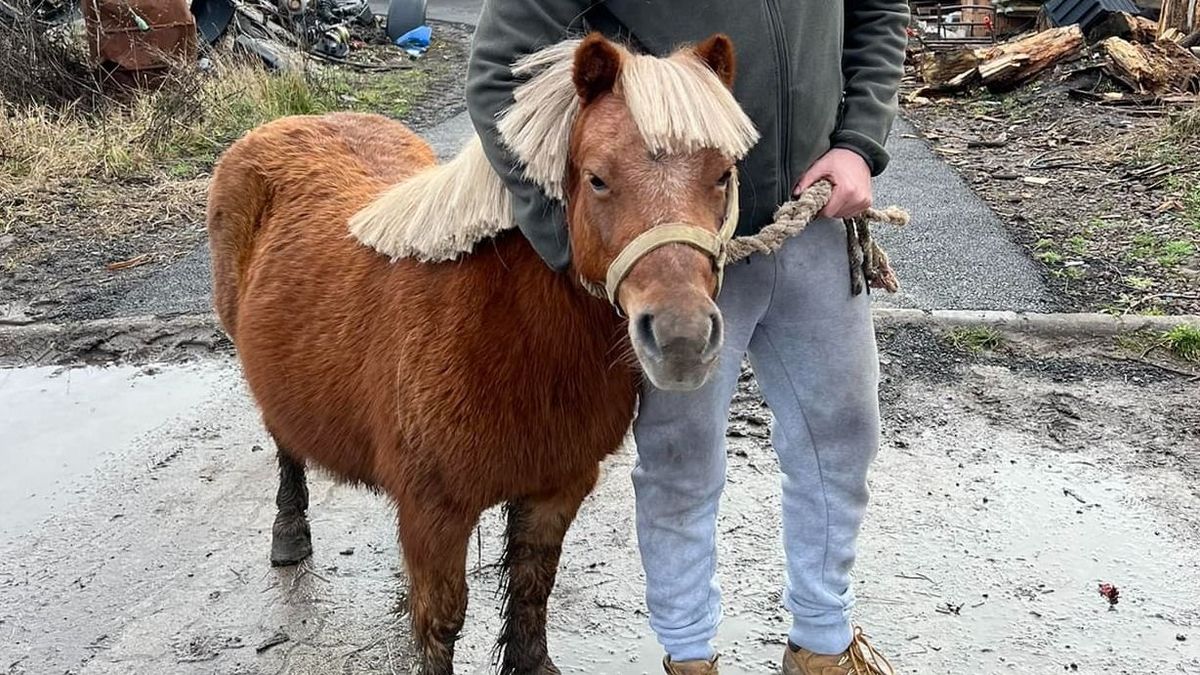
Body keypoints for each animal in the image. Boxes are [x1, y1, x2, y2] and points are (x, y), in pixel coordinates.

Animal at [202, 32, 753, 672]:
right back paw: (290, 532)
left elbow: (533, 583)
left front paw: (530, 660)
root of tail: (287, 123)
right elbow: (443, 621)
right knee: (285, 442)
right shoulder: (437, 511)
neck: (509, 332)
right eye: (596, 179)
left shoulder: (555, 487)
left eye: (722, 175)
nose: (682, 338)